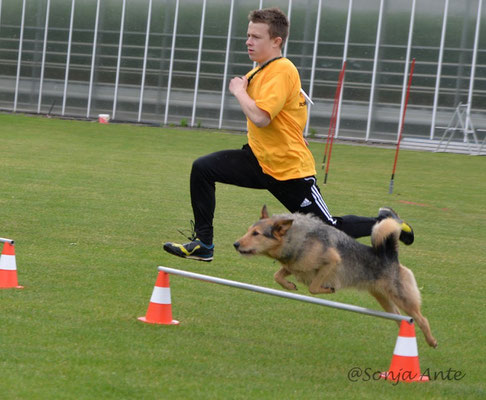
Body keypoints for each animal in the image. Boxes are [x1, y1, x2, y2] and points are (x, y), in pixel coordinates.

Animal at [234, 206, 438, 346]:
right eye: (248, 230)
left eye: (256, 234)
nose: (235, 244)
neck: (297, 239)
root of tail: (390, 256)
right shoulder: (295, 265)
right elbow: (278, 275)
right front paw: (290, 285)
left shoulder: (332, 261)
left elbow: (313, 287)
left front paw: (328, 288)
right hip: (384, 299)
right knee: (399, 318)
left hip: (402, 297)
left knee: (422, 319)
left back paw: (431, 341)